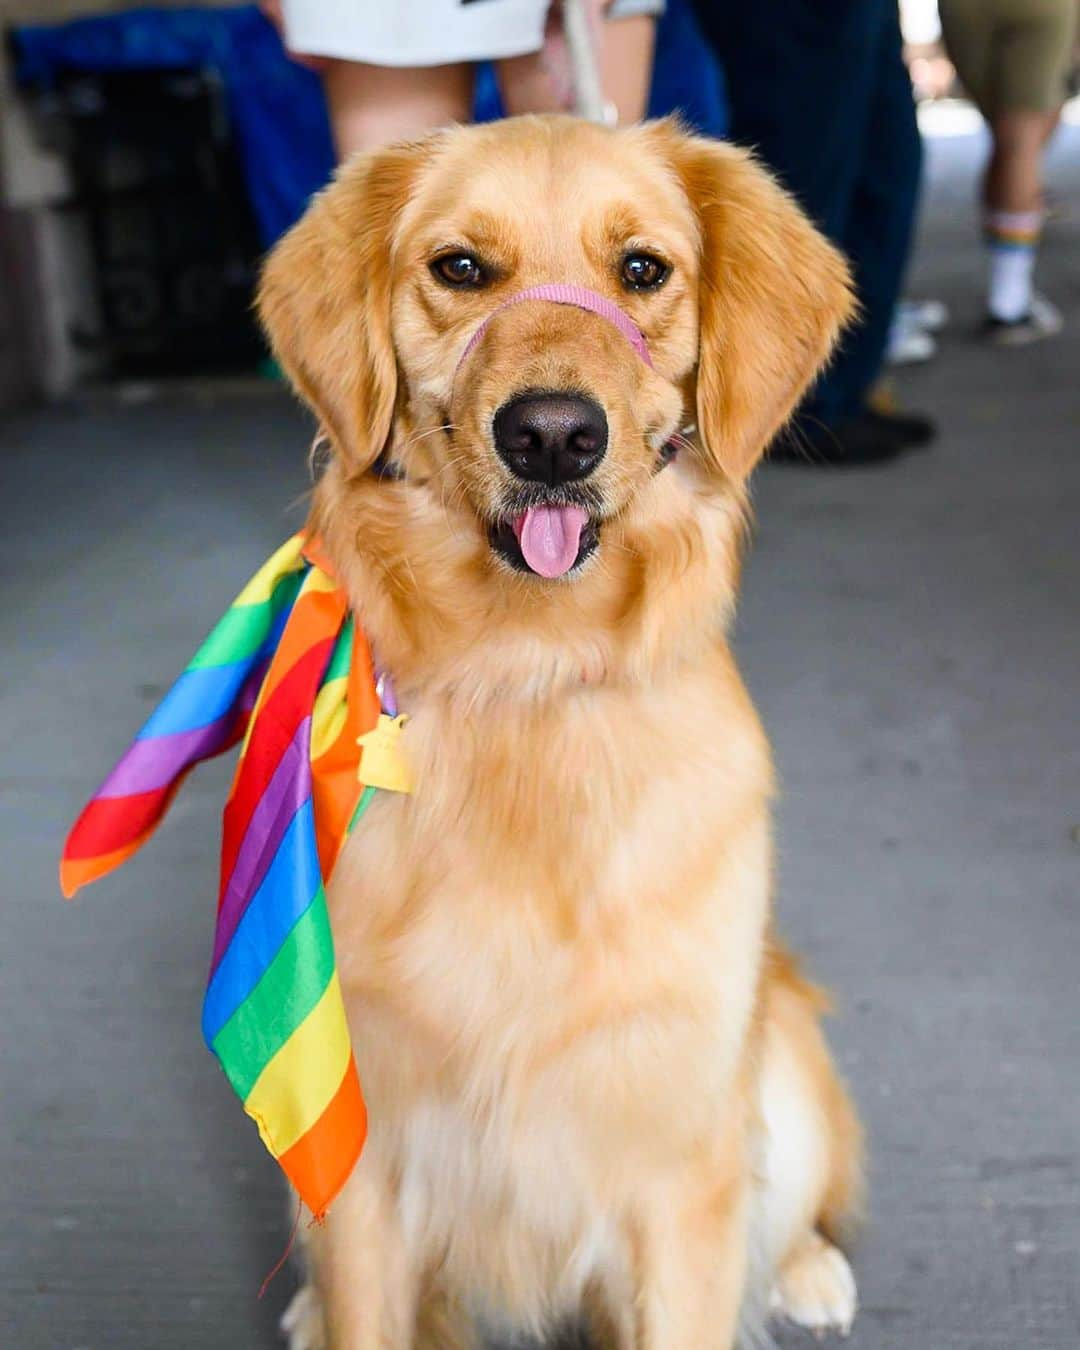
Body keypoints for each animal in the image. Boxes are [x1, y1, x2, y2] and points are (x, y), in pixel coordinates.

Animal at [257, 116, 864, 1350]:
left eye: (641, 269)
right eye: (459, 268)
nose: (550, 435)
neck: (526, 673)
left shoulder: (680, 1160)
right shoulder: (362, 1149)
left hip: (777, 1055)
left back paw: (810, 1271)